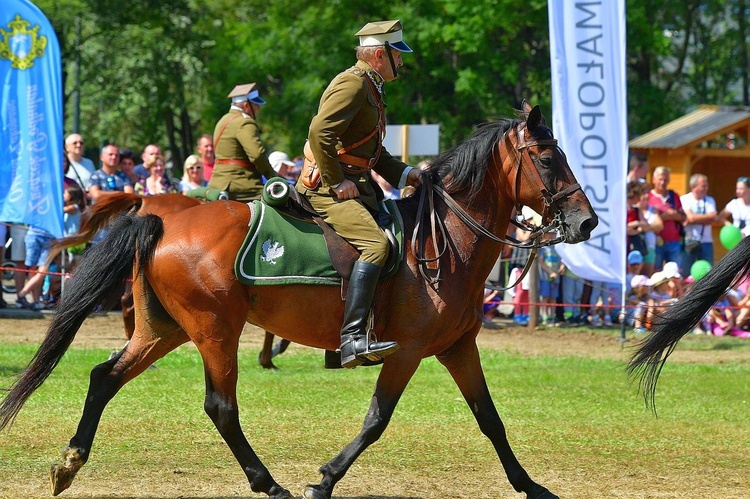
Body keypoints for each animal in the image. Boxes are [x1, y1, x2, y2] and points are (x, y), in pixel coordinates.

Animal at [0, 103, 600, 498]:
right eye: (547, 158)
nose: (587, 222)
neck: (445, 240)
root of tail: (163, 215)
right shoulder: (405, 351)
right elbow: (376, 420)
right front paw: (325, 480)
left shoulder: (458, 349)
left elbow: (490, 419)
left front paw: (532, 486)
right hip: (214, 330)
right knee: (221, 406)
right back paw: (268, 483)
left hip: (163, 329)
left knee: (104, 376)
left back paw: (69, 463)